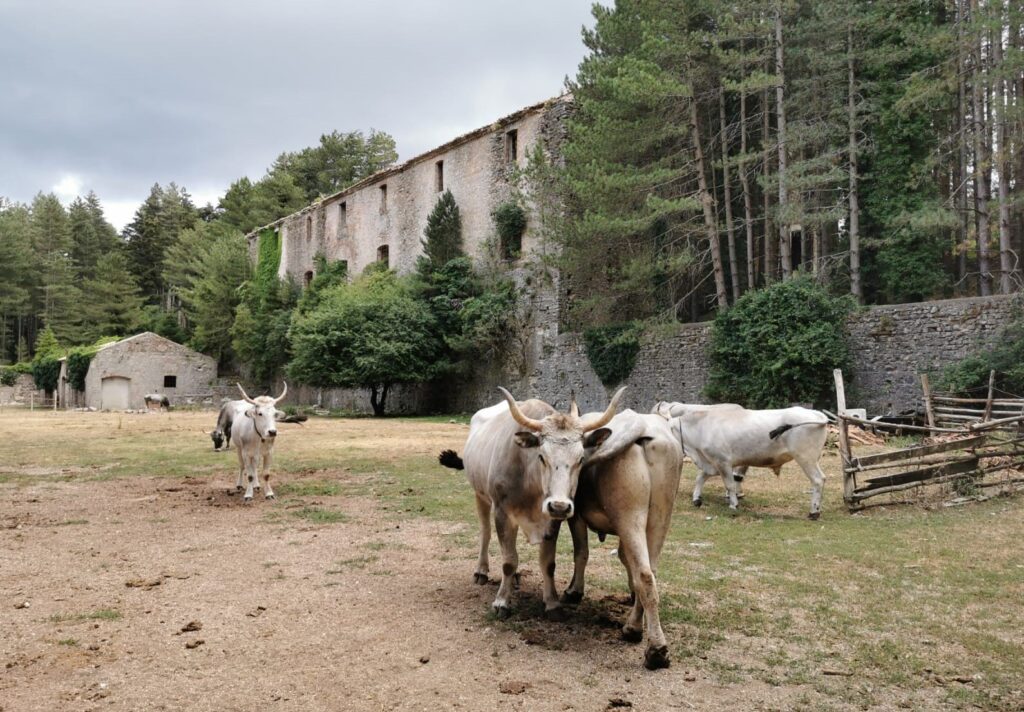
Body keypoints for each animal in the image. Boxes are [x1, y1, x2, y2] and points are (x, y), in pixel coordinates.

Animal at [434, 389, 618, 622]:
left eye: (581, 458)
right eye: (542, 456)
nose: (560, 506)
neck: (530, 481)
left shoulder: (551, 522)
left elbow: (548, 563)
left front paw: (552, 602)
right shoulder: (502, 513)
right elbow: (508, 561)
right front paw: (501, 602)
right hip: (480, 496)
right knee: (485, 532)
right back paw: (481, 571)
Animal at [565, 409, 684, 672]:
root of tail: (641, 425)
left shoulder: (576, 517)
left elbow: (581, 552)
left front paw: (574, 591)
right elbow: (624, 558)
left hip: (629, 516)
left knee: (645, 575)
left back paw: (653, 648)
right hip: (660, 516)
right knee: (650, 572)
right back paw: (636, 628)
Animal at [655, 401, 831, 518]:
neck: (701, 427)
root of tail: (816, 414)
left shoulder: (723, 462)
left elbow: (730, 484)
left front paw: (733, 504)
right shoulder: (712, 463)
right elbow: (700, 478)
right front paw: (697, 499)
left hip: (806, 458)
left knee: (818, 480)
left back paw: (814, 512)